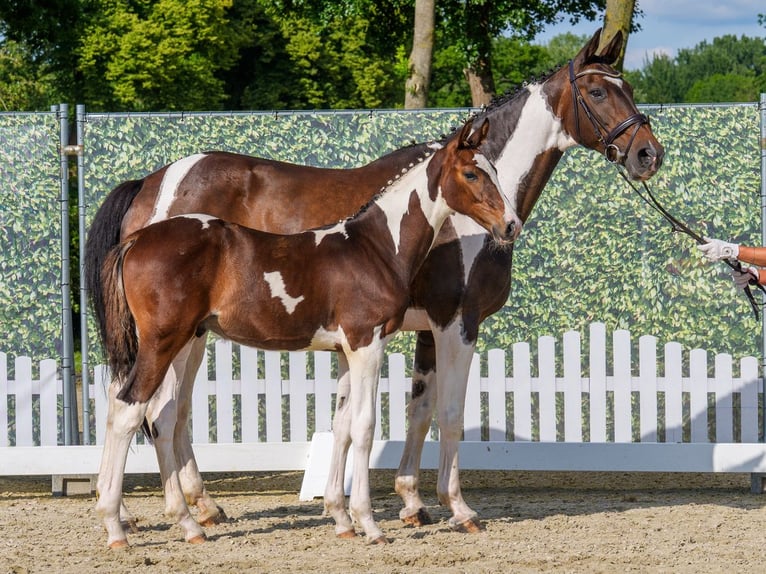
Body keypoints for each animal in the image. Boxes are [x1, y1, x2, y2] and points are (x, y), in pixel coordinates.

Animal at [95, 119, 520, 547]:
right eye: (471, 174)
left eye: (495, 170)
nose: (511, 224)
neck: (376, 247)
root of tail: (137, 239)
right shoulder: (369, 343)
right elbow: (365, 427)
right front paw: (370, 524)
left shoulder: (346, 351)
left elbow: (343, 425)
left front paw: (343, 520)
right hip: (164, 342)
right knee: (132, 411)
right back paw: (119, 526)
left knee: (142, 411)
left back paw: (182, 523)